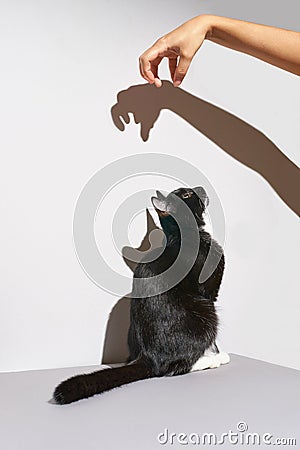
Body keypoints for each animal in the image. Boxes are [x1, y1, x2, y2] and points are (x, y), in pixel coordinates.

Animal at [52, 186, 229, 404]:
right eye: (187, 195)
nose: (200, 188)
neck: (185, 236)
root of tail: (148, 356)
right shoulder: (210, 293)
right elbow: (213, 339)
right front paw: (217, 353)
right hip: (206, 313)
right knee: (173, 368)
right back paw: (210, 360)